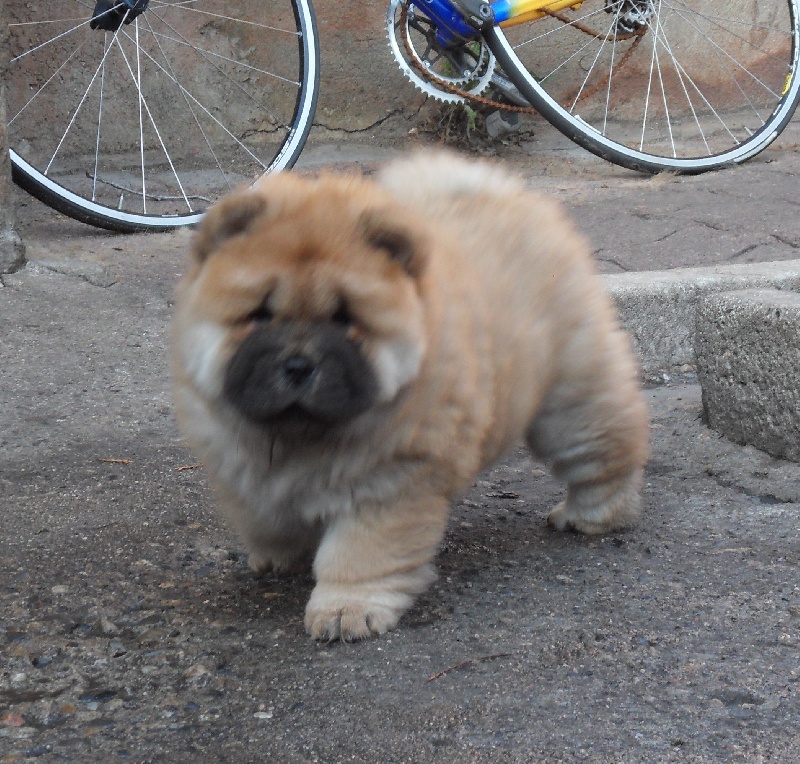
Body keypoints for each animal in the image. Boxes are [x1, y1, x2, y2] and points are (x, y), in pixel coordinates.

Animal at [170, 149, 648, 640]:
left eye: (345, 319)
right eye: (260, 315)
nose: (299, 364)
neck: (299, 439)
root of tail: (508, 196)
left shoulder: (390, 479)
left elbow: (361, 553)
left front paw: (346, 610)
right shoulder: (238, 463)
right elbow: (264, 518)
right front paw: (279, 556)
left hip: (572, 399)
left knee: (602, 452)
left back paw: (592, 515)